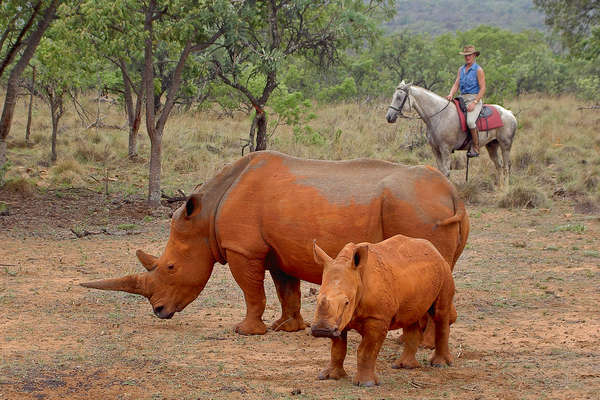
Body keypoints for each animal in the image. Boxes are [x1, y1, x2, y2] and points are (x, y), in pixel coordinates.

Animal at [82, 150, 468, 334]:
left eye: (171, 267)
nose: (159, 311)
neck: (206, 215)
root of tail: (453, 195)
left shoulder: (243, 249)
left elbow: (252, 292)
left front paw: (245, 332)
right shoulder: (280, 249)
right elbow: (287, 290)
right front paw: (288, 327)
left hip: (415, 209)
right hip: (425, 209)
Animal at [312, 236, 452, 386]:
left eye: (347, 302)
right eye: (317, 298)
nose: (321, 330)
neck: (358, 277)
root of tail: (434, 250)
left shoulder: (377, 318)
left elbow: (366, 350)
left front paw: (366, 384)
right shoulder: (339, 321)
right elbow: (337, 348)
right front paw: (330, 376)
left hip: (445, 269)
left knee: (440, 314)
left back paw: (440, 364)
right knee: (410, 317)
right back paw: (403, 366)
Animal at [386, 81, 516, 189]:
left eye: (399, 97)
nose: (389, 117)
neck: (439, 115)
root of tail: (509, 113)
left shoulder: (446, 150)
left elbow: (446, 172)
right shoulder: (435, 150)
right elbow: (440, 171)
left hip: (505, 146)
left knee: (506, 166)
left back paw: (506, 190)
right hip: (492, 146)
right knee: (499, 166)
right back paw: (500, 188)